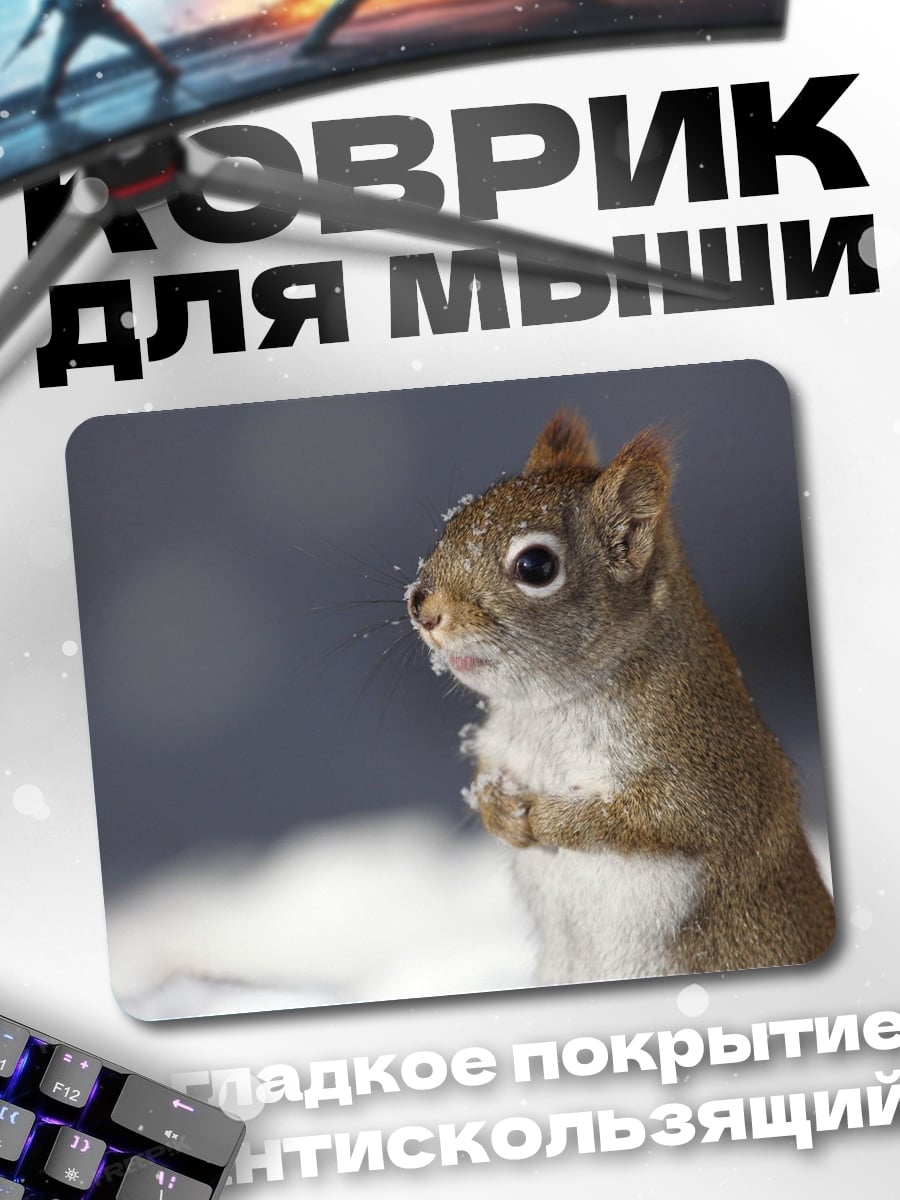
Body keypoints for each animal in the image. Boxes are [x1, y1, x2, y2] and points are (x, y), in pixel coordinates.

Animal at [406, 410, 835, 985]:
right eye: (453, 524)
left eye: (536, 566)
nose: (421, 607)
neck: (546, 709)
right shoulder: (500, 743)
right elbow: (485, 775)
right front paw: (498, 808)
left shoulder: (704, 774)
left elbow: (653, 819)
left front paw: (547, 819)